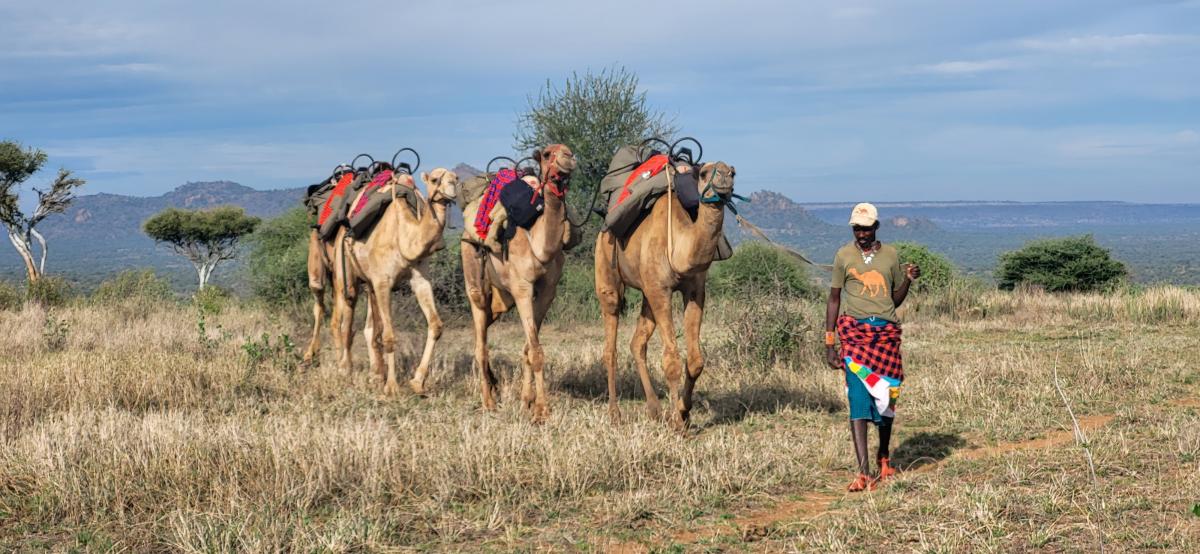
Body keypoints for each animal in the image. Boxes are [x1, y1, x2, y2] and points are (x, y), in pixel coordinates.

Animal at [330, 167, 459, 395]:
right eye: (435, 179)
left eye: (455, 177)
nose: (452, 187)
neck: (405, 237)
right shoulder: (383, 282)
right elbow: (389, 335)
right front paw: (391, 387)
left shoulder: (420, 278)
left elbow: (435, 325)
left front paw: (417, 381)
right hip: (343, 269)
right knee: (345, 319)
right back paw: (345, 369)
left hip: (369, 283)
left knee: (370, 328)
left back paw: (375, 374)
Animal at [461, 145, 577, 422]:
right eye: (547, 154)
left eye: (568, 149)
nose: (568, 158)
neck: (539, 245)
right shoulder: (522, 287)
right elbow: (535, 351)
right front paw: (542, 411)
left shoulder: (547, 290)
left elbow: (528, 347)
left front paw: (527, 402)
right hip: (473, 274)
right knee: (480, 343)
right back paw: (488, 403)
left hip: (501, 296)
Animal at [594, 161, 736, 430]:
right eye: (704, 173)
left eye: (734, 172)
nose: (724, 176)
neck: (679, 244)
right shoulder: (660, 290)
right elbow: (671, 360)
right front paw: (677, 423)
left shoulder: (694, 290)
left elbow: (696, 360)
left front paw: (683, 411)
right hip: (607, 269)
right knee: (610, 345)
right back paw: (615, 414)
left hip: (646, 293)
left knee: (637, 342)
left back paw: (654, 410)